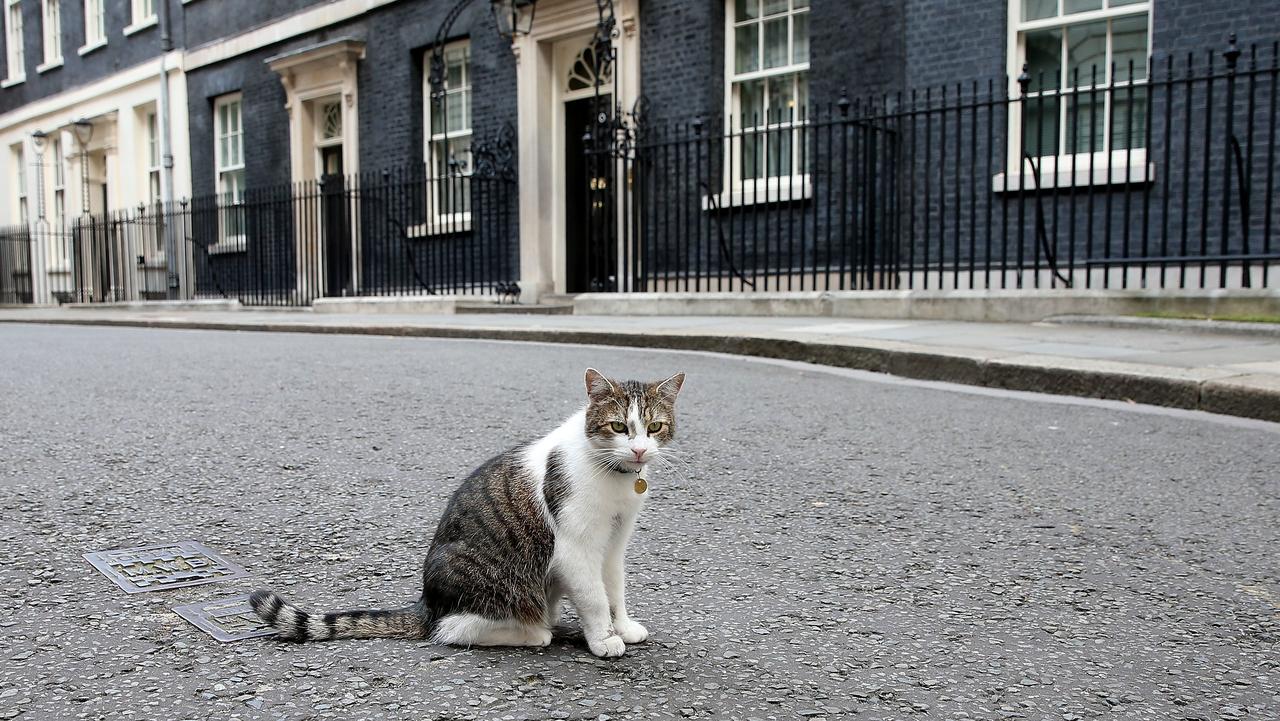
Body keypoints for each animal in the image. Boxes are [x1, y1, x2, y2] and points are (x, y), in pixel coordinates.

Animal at [252, 368, 691, 655]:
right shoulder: (575, 547)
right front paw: (603, 639)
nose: (639, 450)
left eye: (654, 427)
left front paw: (623, 627)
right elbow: (595, 598)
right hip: (500, 583)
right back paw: (533, 633)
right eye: (618, 427)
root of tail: (427, 603)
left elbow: (614, 590)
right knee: (452, 630)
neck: (617, 478)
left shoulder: (614, 543)